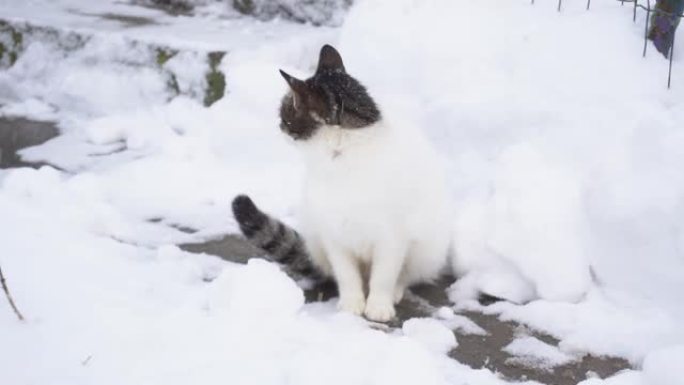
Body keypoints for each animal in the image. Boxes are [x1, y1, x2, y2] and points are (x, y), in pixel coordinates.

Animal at [232, 44, 452, 320]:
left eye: (285, 114)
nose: (279, 126)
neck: (343, 157)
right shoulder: (333, 234)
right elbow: (347, 275)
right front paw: (351, 305)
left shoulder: (391, 238)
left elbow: (384, 276)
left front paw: (378, 306)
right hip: (317, 239)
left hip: (427, 247)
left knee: (406, 274)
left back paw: (395, 291)